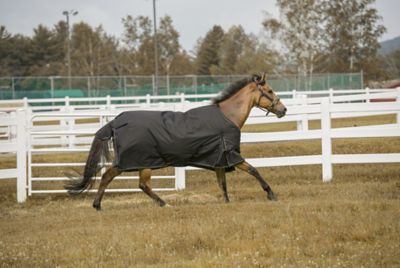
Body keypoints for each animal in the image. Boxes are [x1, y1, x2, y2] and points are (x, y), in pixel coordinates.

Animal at [64, 73, 286, 209]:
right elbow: (254, 170)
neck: (227, 116)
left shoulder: (219, 160)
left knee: (116, 179)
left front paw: (226, 202)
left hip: (137, 163)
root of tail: (115, 122)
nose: (283, 110)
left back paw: (100, 205)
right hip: (141, 162)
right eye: (270, 91)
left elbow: (222, 184)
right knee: (129, 182)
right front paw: (271, 194)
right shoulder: (232, 156)